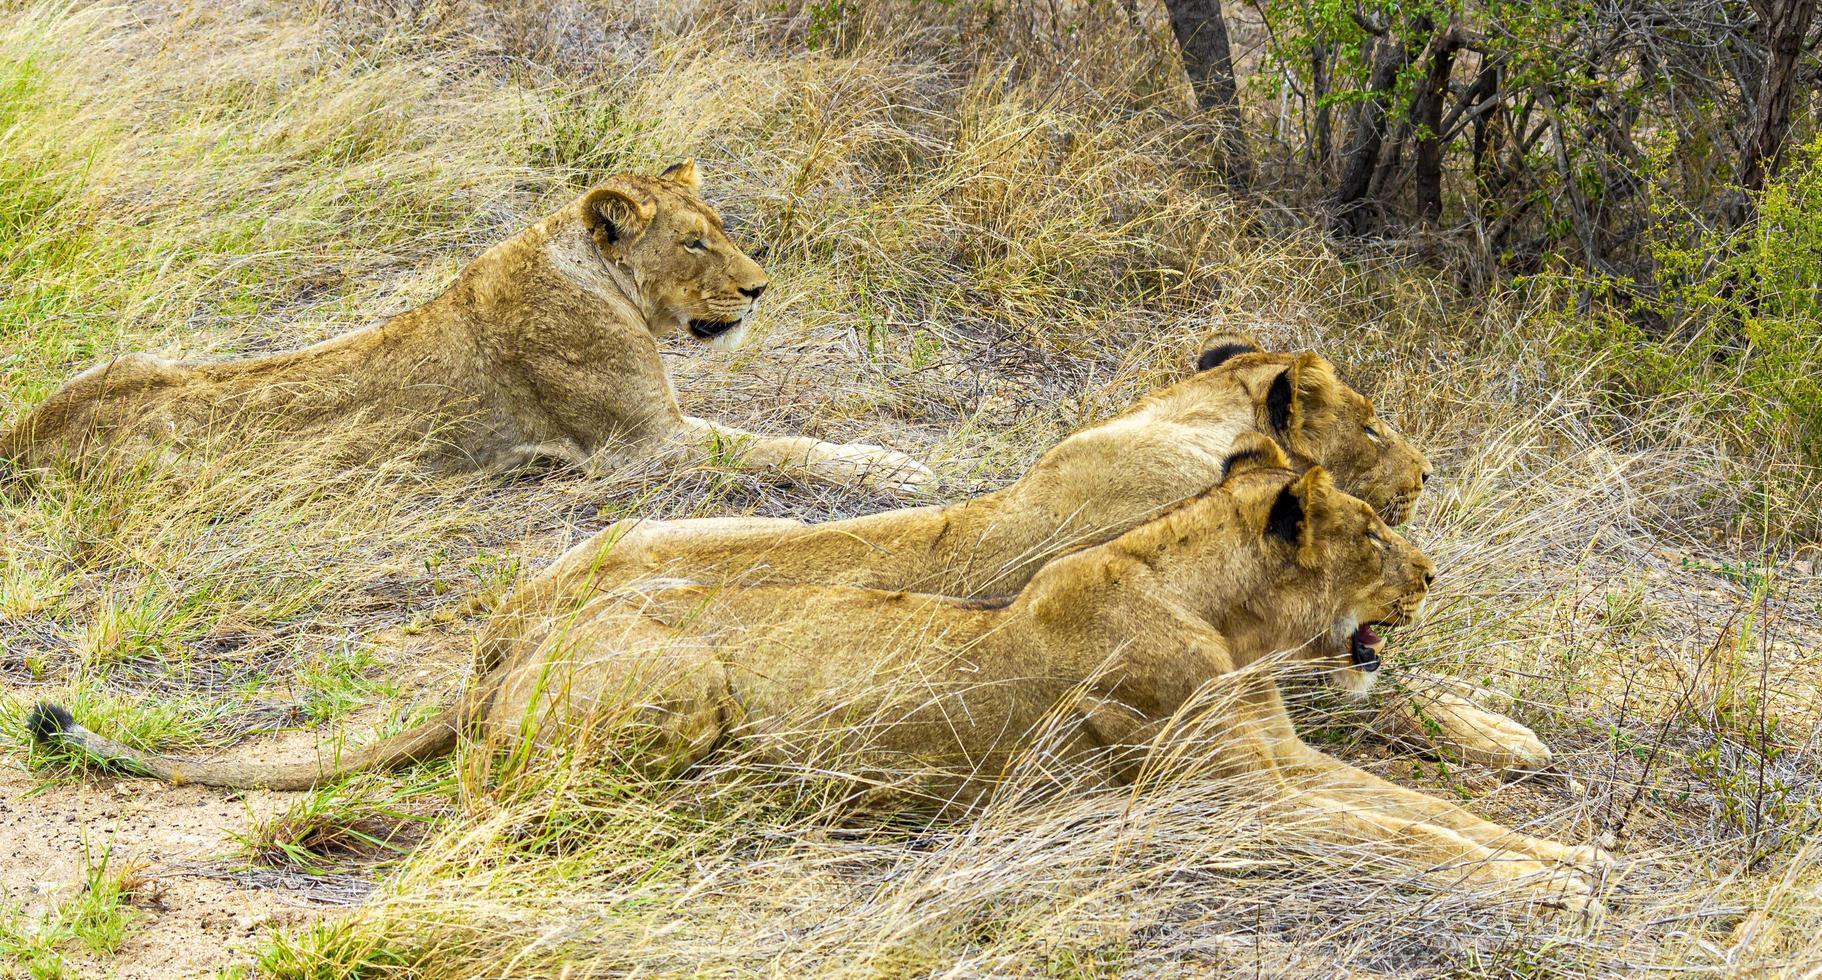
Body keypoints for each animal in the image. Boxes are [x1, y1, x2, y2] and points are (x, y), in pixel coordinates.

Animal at [0, 162, 932, 488]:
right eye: (694, 242)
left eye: (724, 227)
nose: (760, 289)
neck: (601, 283)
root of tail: (25, 434)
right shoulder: (643, 447)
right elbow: (782, 448)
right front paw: (896, 466)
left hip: (130, 356)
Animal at [28, 435, 1610, 907]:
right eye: (1376, 532)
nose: (1430, 576)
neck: (1219, 609)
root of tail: (497, 650)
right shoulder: (1214, 793)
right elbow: (1401, 834)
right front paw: (1552, 882)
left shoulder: (1271, 760)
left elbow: (1428, 811)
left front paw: (1577, 858)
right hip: (670, 696)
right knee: (498, 822)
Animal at [484, 338, 1552, 775]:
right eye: (1372, 426)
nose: (1427, 471)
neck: (1186, 425)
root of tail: (500, 626)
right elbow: (1394, 683)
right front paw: (1508, 734)